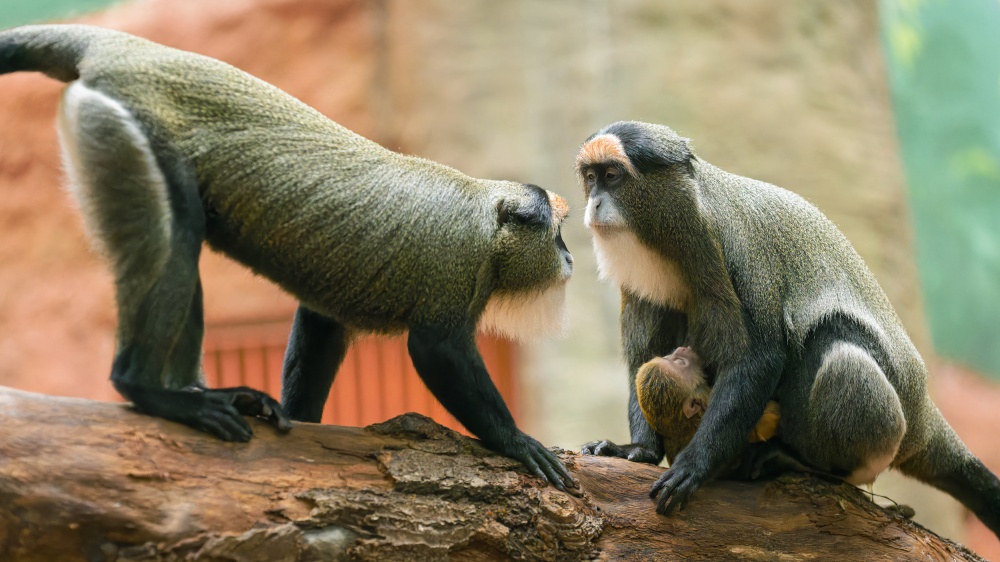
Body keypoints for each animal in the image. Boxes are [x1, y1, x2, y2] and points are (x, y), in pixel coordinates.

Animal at [0, 25, 580, 490]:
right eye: (557, 234)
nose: (571, 257)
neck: (486, 215)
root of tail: (121, 47)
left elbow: (320, 329)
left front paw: (306, 429)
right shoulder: (454, 270)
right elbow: (438, 351)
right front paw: (516, 441)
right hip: (122, 135)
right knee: (179, 234)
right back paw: (150, 390)